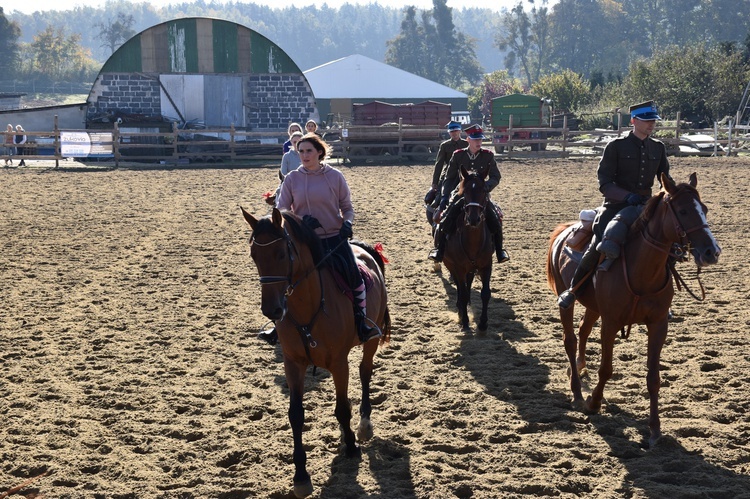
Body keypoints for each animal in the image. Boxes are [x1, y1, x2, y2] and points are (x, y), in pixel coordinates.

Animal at [242, 206, 396, 496]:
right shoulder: (293, 364)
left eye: (282, 254)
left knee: (365, 373)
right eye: (254, 255)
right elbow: (296, 415)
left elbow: (343, 407)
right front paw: (301, 476)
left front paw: (351, 447)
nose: (271, 310)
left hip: (370, 340)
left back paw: (363, 425)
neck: (308, 308)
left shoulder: (339, 363)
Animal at [444, 166, 496, 334]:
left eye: (484, 190)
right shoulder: (458, 268)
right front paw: (465, 321)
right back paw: (461, 313)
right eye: (464, 191)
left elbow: (485, 294)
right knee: (461, 290)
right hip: (451, 265)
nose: (473, 219)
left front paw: (483, 323)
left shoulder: (487, 265)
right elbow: (464, 294)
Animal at [548, 173, 724, 450]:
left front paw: (654, 429)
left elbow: (653, 378)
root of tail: (566, 229)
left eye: (704, 209)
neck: (642, 269)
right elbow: (606, 369)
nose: (711, 252)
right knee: (570, 338)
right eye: (683, 210)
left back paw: (579, 366)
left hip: (593, 307)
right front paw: (593, 403)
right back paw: (577, 391)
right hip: (566, 299)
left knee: (583, 331)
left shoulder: (658, 325)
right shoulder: (610, 323)